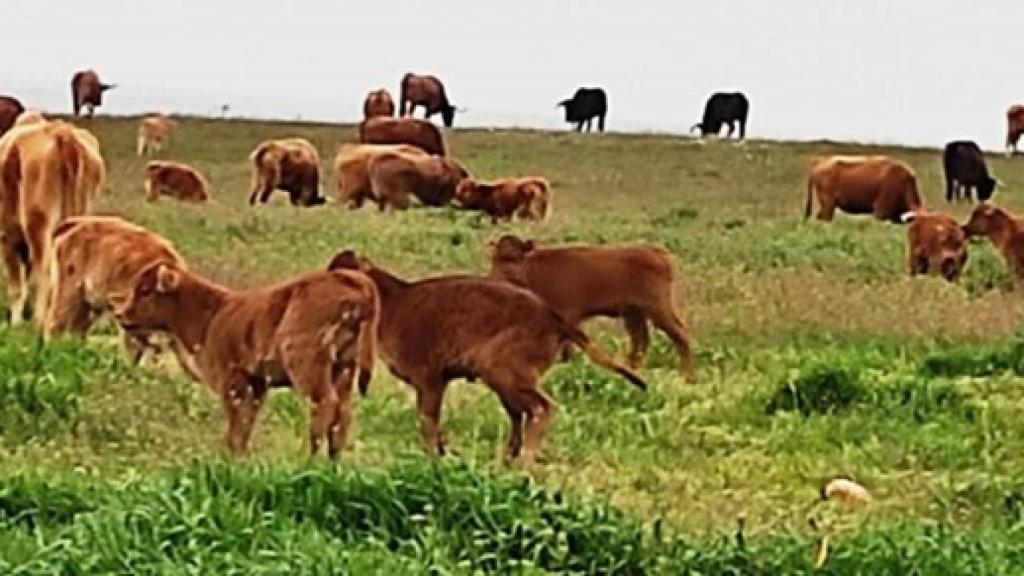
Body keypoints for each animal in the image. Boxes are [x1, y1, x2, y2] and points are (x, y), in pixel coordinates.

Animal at [0, 120, 105, 326]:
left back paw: (38, 321)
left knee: (45, 270)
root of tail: (62, 134)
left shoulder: (7, 238)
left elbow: (17, 285)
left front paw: (15, 324)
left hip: (39, 226)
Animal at [113, 263, 379, 458]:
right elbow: (246, 423)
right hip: (344, 368)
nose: (121, 315)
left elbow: (236, 425)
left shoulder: (233, 381)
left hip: (307, 365)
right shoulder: (256, 383)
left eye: (146, 290)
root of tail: (356, 284)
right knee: (342, 414)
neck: (212, 313)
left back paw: (308, 459)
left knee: (324, 404)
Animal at [327, 251, 645, 465]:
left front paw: (434, 457)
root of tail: (552, 317)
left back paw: (525, 461)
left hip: (506, 374)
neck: (391, 303)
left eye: (345, 276)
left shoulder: (430, 379)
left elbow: (428, 421)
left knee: (542, 407)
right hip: (503, 382)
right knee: (520, 414)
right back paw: (509, 457)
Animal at [488, 235, 694, 375]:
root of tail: (656, 252)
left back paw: (687, 375)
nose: (492, 278)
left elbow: (567, 347)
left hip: (657, 308)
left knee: (679, 334)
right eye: (495, 258)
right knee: (640, 340)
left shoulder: (568, 316)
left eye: (512, 258)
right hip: (633, 313)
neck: (534, 269)